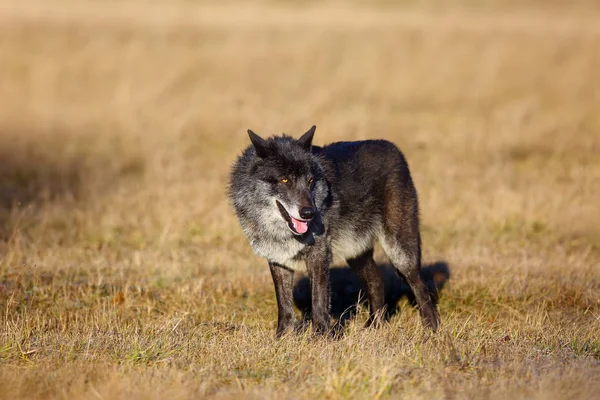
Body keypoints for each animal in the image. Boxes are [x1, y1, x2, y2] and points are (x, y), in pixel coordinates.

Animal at [227, 126, 438, 336]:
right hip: (356, 253)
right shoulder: (278, 259)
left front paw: (320, 336)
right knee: (377, 280)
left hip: (400, 252)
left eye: (310, 180)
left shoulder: (319, 254)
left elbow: (319, 300)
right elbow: (284, 304)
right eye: (285, 180)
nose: (309, 213)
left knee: (419, 285)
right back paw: (373, 327)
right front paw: (283, 336)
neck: (279, 231)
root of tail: (395, 150)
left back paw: (431, 329)